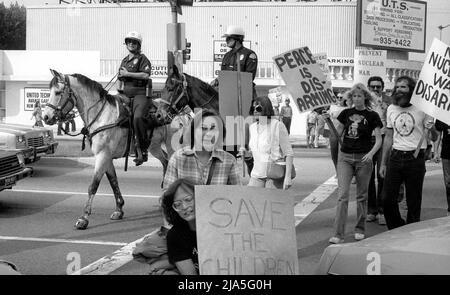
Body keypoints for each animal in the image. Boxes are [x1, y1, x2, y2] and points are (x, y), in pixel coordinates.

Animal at [42, 70, 162, 231]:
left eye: (58, 92)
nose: (46, 117)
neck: (101, 115)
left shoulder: (102, 156)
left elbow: (93, 186)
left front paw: (84, 218)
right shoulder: (107, 157)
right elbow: (113, 181)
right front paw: (119, 209)